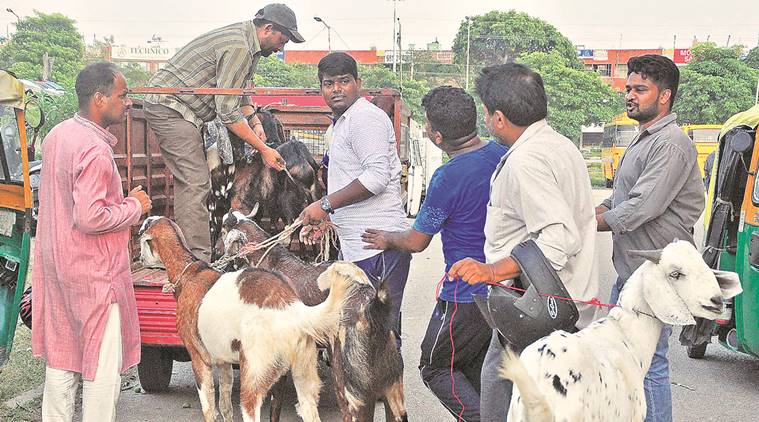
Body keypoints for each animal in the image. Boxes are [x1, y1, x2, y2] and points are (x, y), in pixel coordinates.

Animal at [139, 216, 372, 422]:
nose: (140, 258)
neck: (189, 272)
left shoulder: (200, 359)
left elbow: (209, 410)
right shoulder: (224, 362)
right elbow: (226, 407)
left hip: (260, 377)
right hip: (303, 375)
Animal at [221, 211, 410, 422]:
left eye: (222, 229)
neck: (272, 261)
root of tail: (370, 307)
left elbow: (274, 410)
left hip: (347, 385)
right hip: (392, 392)